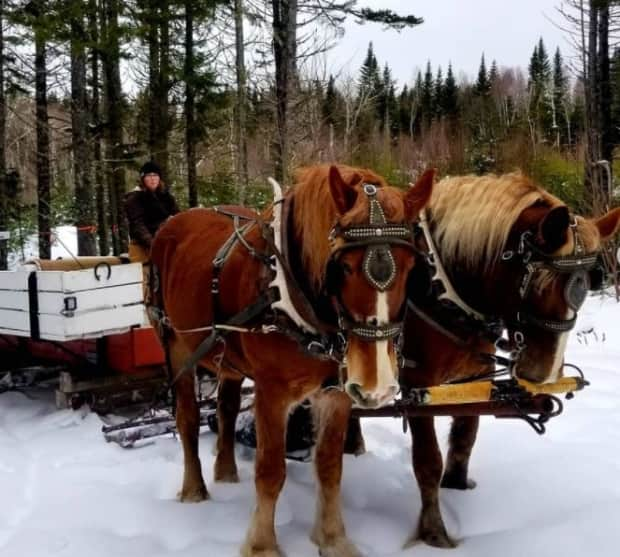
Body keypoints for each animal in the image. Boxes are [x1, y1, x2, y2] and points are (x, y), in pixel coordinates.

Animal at [148, 163, 434, 552]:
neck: (286, 290)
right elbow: (270, 470)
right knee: (188, 419)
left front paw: (332, 538)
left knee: (226, 408)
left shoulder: (337, 394)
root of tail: (173, 221)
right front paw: (261, 545)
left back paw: (226, 471)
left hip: (229, 357)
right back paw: (194, 489)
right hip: (177, 346)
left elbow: (329, 467)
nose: (376, 387)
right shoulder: (272, 391)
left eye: (409, 267)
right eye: (344, 267)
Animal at [398, 172, 620, 544]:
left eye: (586, 286)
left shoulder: (473, 378)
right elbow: (427, 461)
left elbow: (466, 436)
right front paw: (435, 533)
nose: (543, 374)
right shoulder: (417, 385)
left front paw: (458, 487)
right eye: (539, 284)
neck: (440, 289)